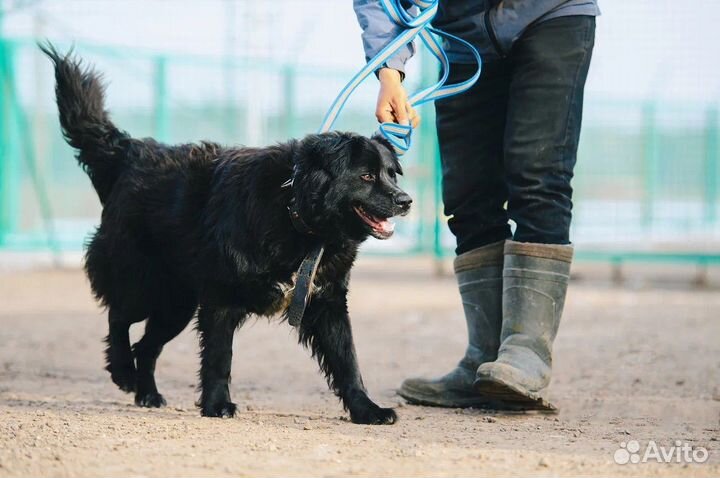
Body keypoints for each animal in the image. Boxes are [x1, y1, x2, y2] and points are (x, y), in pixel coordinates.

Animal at [43, 44, 410, 424]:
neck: (295, 214)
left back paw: (148, 393)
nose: (406, 201)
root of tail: (130, 152)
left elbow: (347, 361)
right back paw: (122, 371)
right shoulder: (221, 297)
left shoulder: (328, 303)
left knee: (145, 346)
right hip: (142, 283)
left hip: (175, 304)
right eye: (366, 176)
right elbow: (220, 358)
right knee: (118, 318)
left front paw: (366, 409)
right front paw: (217, 404)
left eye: (391, 174)